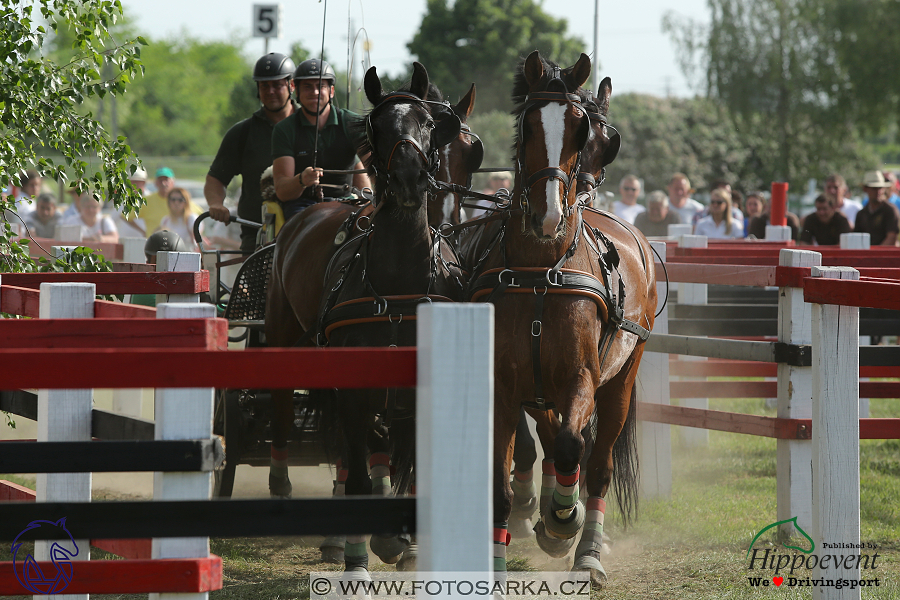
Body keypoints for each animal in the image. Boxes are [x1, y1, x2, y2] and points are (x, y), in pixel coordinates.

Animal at [266, 63, 464, 576]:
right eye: (377, 126)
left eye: (427, 123)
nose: (410, 176)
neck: (396, 285)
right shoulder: (353, 385)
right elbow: (355, 473)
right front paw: (358, 561)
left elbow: (408, 464)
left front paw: (402, 541)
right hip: (281, 331)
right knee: (283, 404)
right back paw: (281, 483)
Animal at [464, 52, 652, 584]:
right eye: (527, 124)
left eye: (582, 129)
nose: (549, 213)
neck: (540, 269)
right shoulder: (505, 387)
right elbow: (501, 486)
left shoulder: (580, 378)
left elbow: (571, 447)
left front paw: (564, 520)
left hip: (621, 380)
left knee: (598, 463)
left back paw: (584, 546)